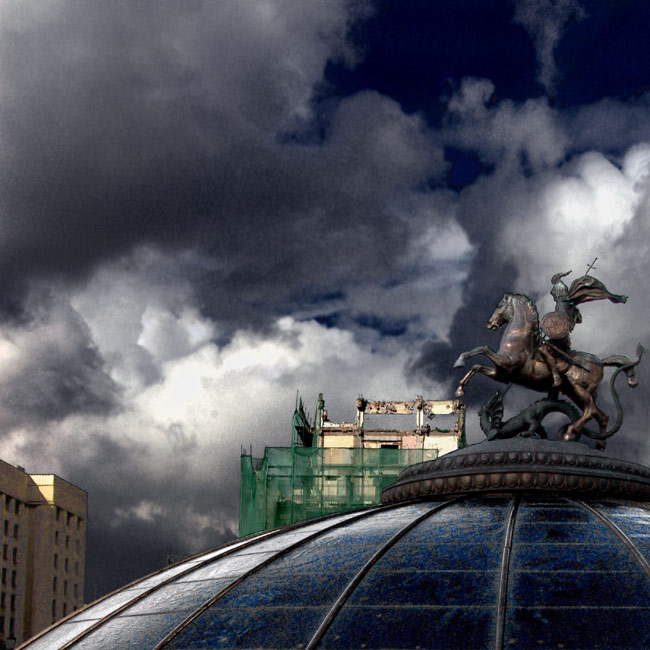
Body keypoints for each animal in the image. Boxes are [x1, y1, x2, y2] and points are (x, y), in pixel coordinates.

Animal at [450, 292, 636, 436]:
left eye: (500, 305)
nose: (490, 324)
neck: (518, 339)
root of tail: (600, 362)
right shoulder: (501, 374)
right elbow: (477, 366)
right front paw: (460, 388)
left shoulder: (507, 364)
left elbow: (483, 348)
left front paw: (459, 361)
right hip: (575, 392)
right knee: (601, 416)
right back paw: (599, 444)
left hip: (578, 388)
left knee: (591, 411)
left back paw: (571, 431)